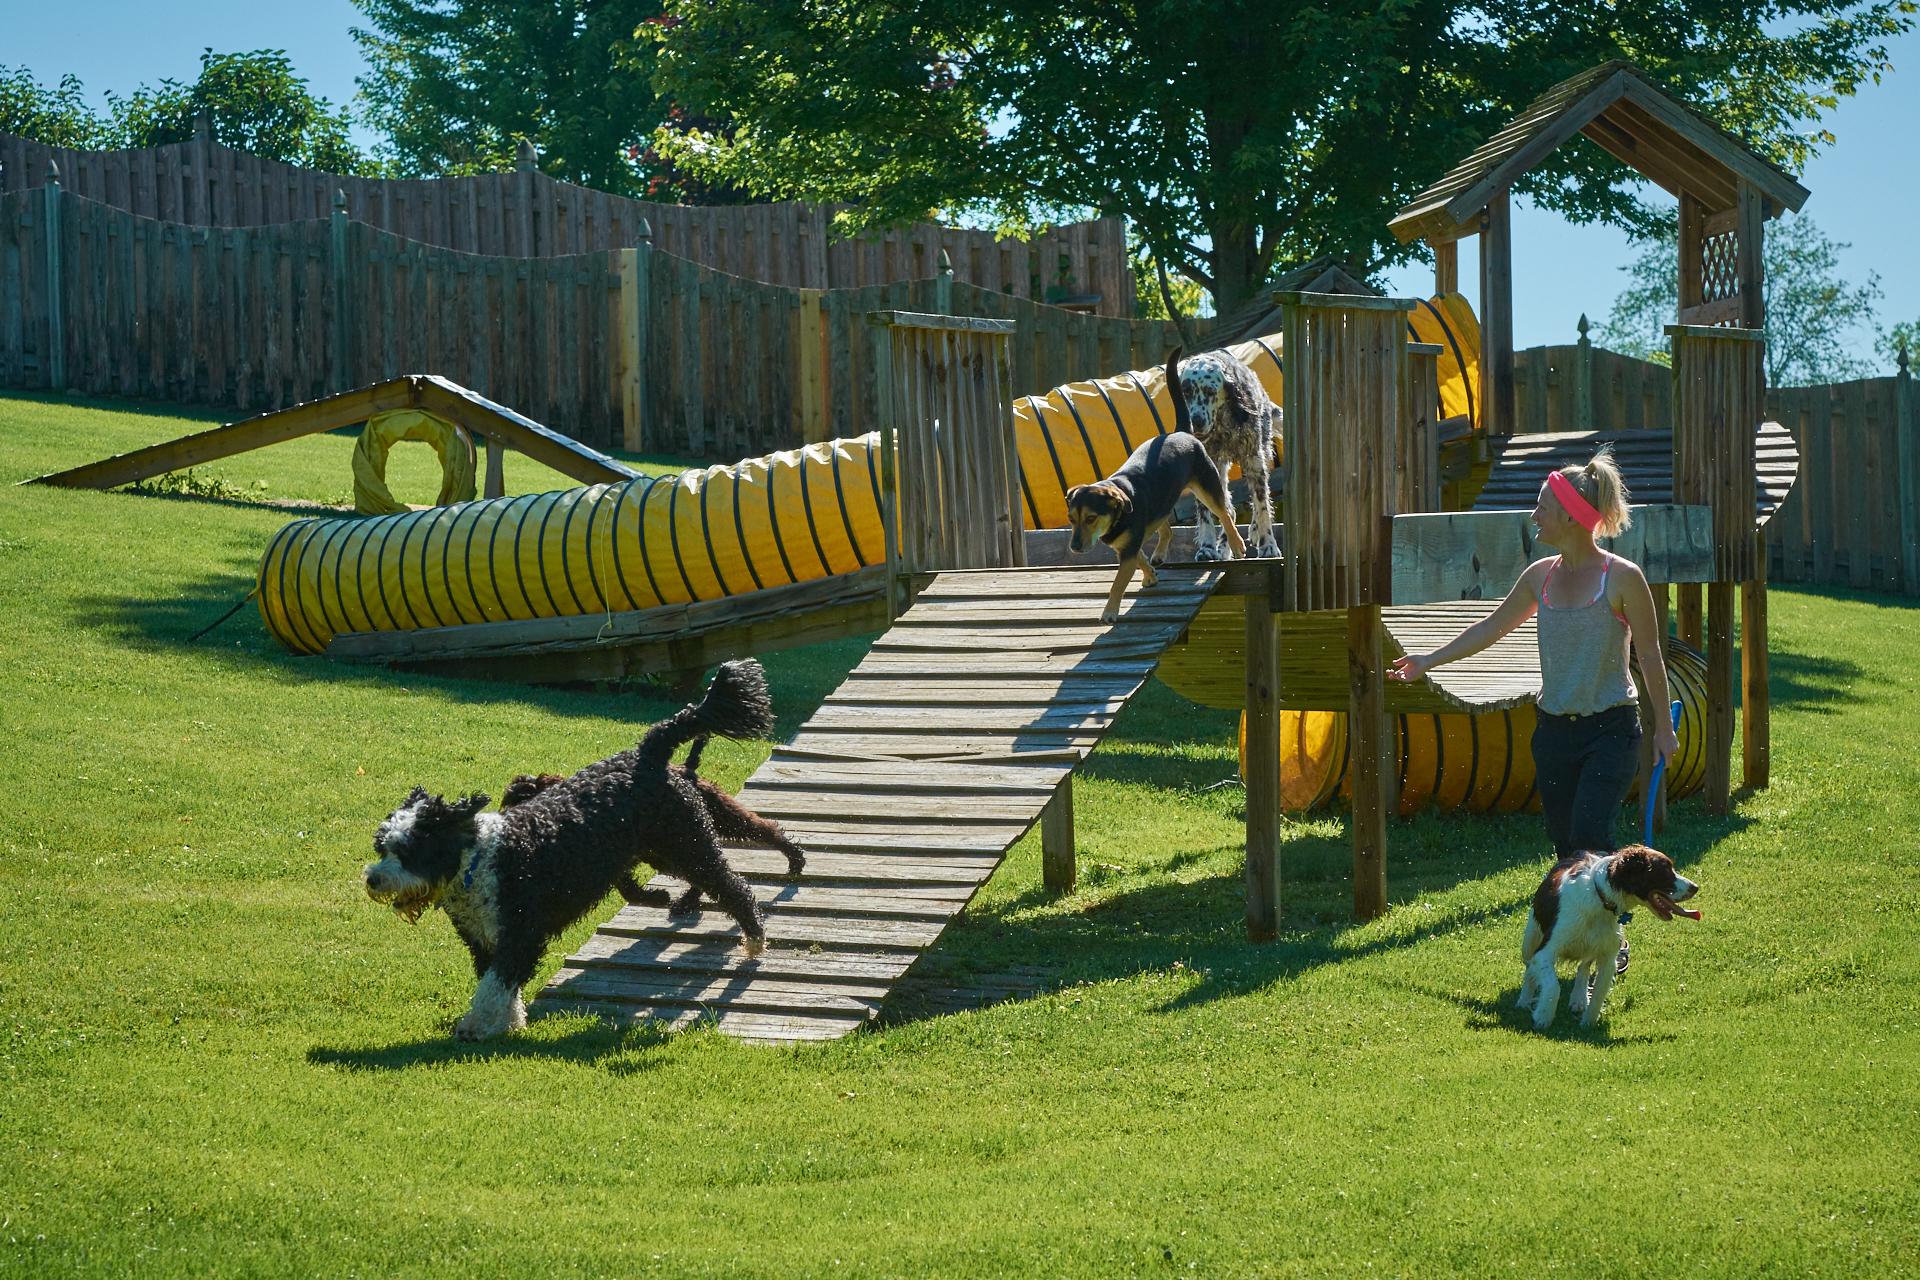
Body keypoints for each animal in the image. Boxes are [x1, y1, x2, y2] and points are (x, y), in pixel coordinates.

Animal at [357, 660, 798, 1043]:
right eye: (382, 847)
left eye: (409, 851)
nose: (373, 879)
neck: (479, 861)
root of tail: (649, 751)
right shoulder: (485, 939)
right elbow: (500, 984)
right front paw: (510, 1023)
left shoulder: (521, 932)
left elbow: (493, 987)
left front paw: (476, 1026)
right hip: (666, 852)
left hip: (688, 847)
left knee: (736, 889)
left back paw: (755, 940)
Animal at [1159, 345, 1282, 560]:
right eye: (1186, 391)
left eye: (1210, 391)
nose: (1196, 421)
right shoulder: (1204, 468)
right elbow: (1207, 513)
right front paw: (1208, 547)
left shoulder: (1254, 461)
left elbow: (1262, 507)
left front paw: (1268, 544)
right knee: (1228, 511)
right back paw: (1225, 546)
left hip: (1264, 452)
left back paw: (1253, 531)